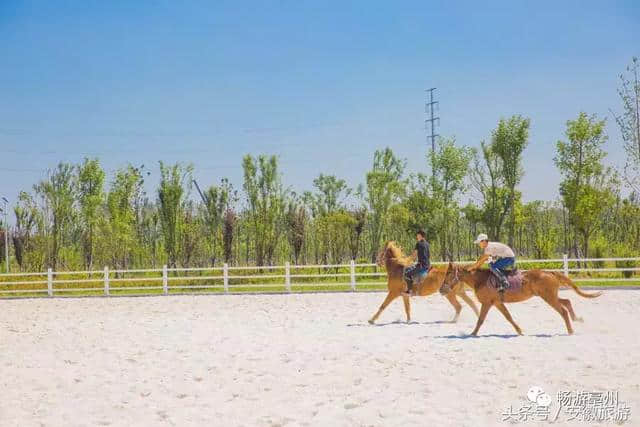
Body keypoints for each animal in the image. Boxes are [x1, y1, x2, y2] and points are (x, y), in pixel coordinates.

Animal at [442, 262, 604, 336]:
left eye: (448, 273)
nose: (442, 288)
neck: (480, 279)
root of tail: (550, 272)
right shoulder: (497, 303)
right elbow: (508, 317)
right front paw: (519, 330)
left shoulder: (487, 303)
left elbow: (481, 319)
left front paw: (473, 333)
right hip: (551, 296)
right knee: (567, 302)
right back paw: (577, 319)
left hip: (549, 297)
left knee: (563, 311)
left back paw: (570, 330)